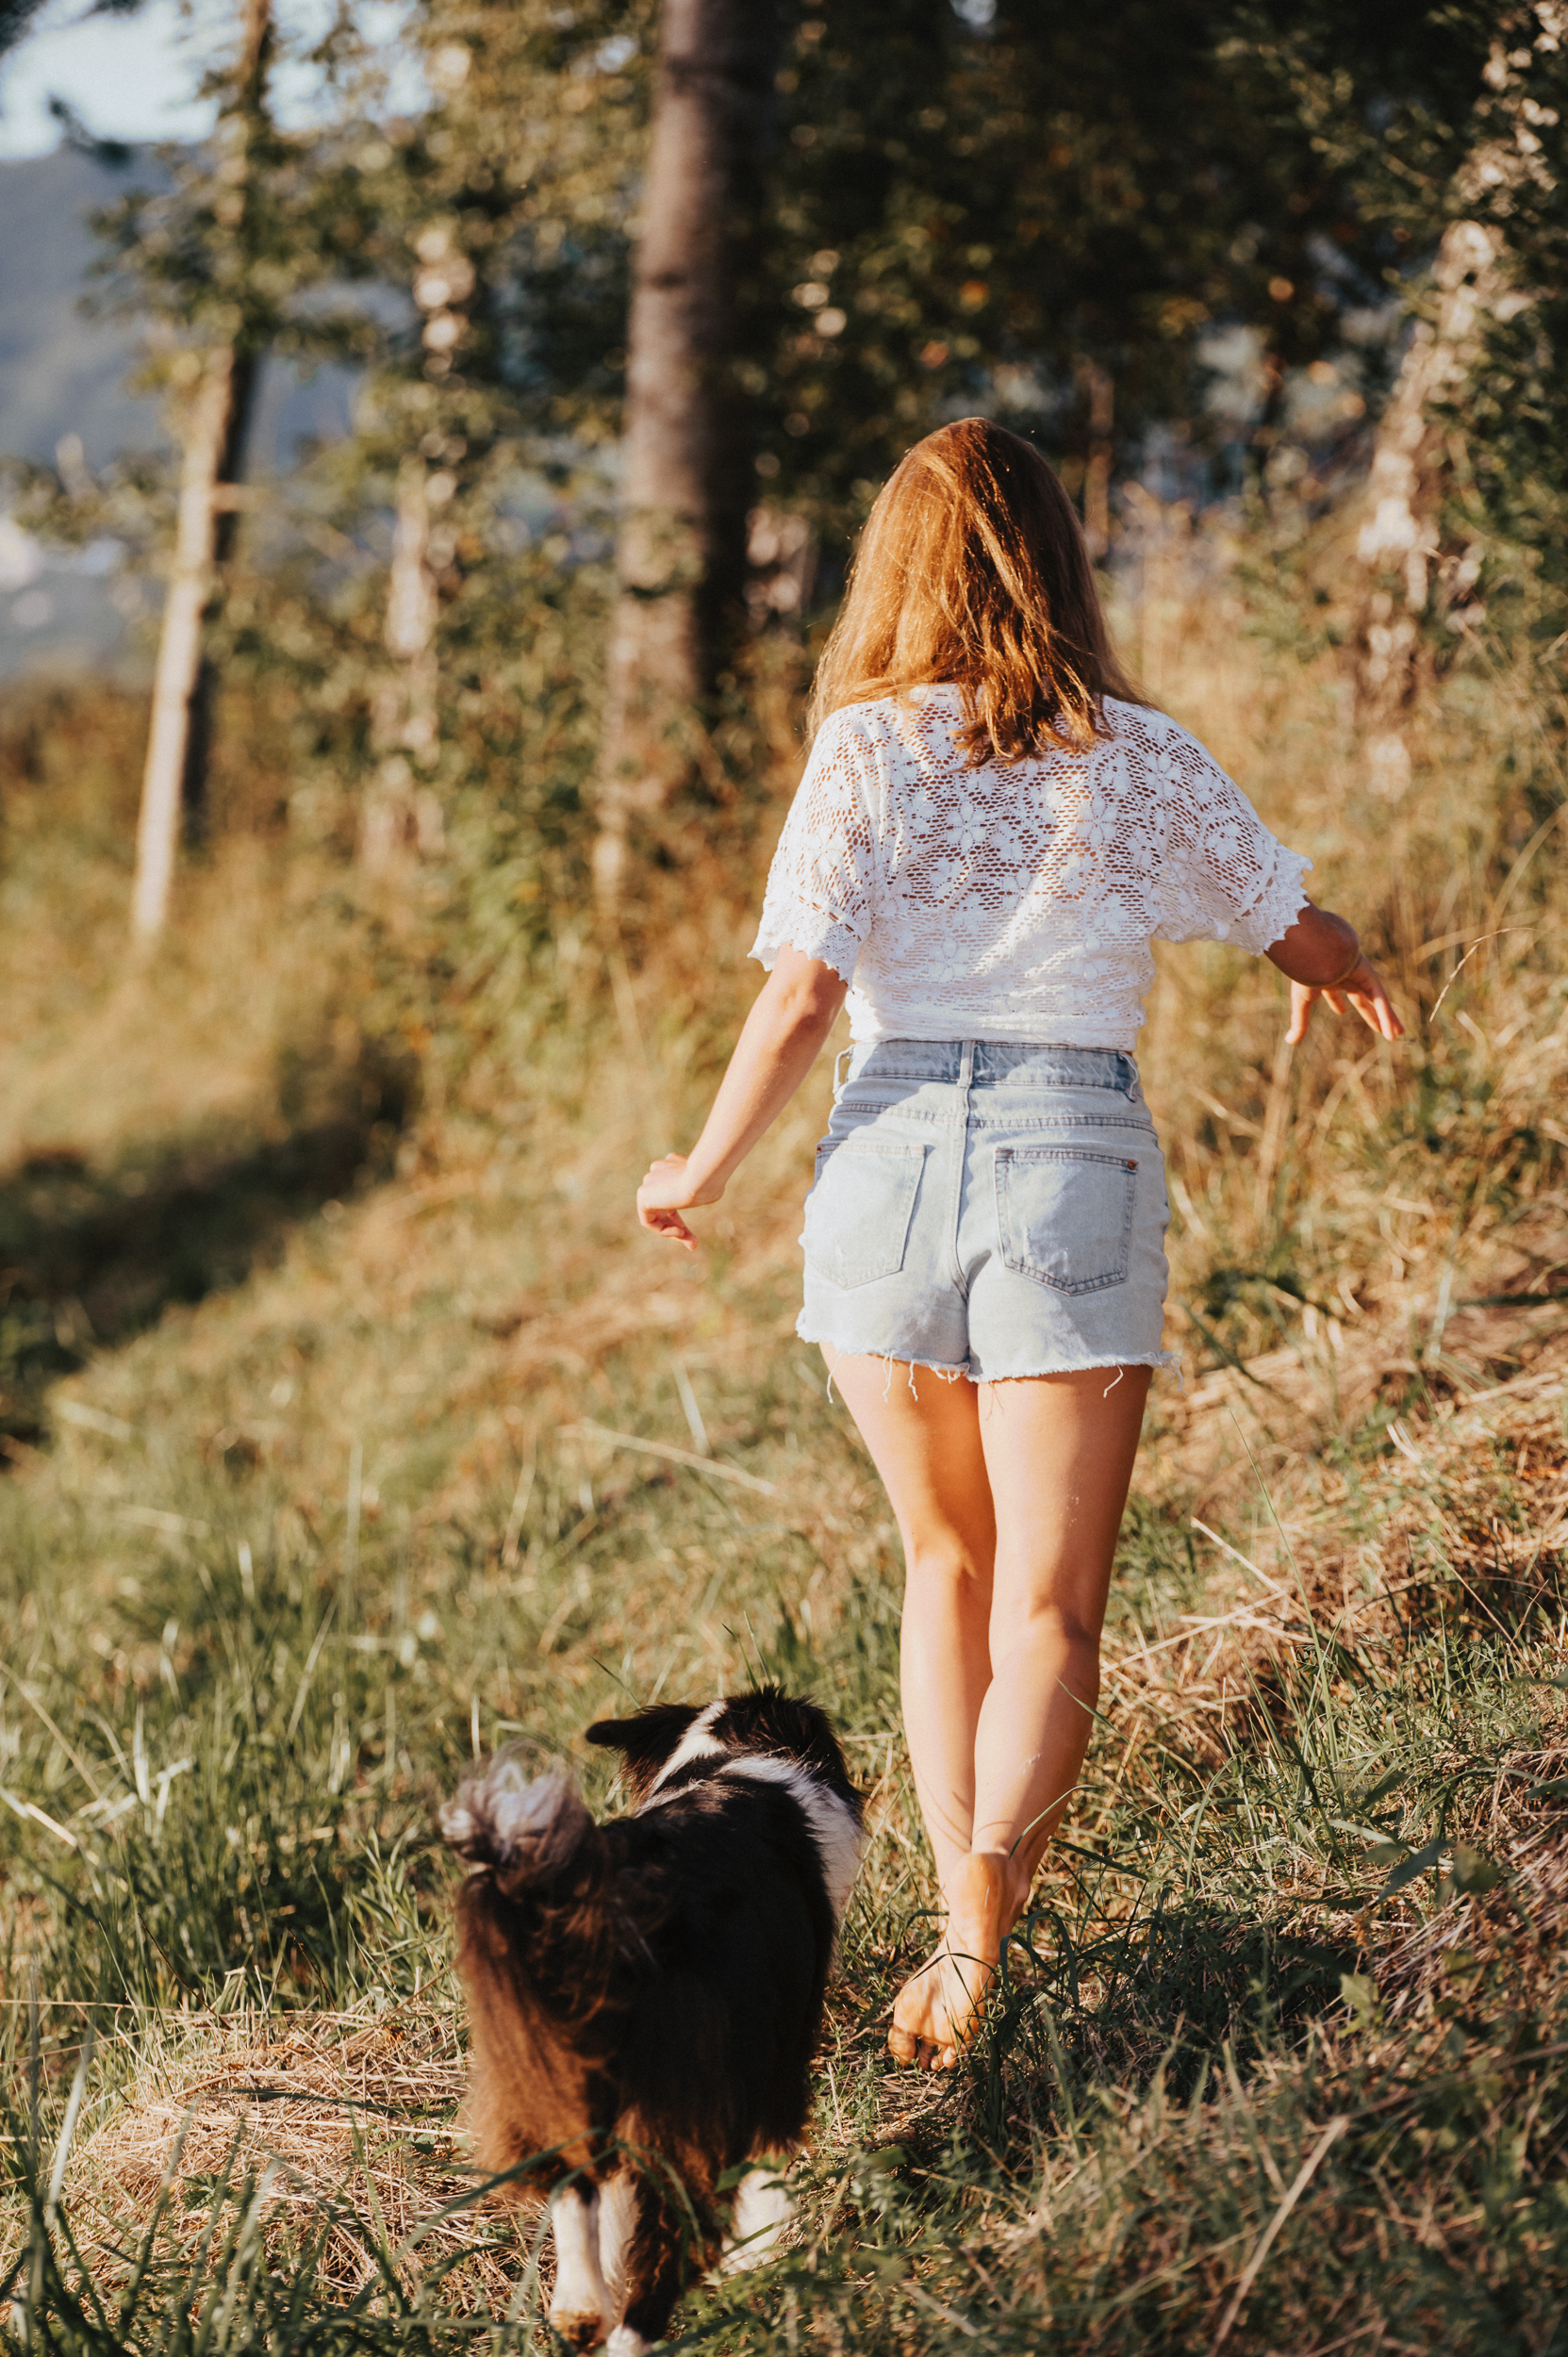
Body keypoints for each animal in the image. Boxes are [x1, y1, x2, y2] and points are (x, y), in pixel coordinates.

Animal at [434, 1688, 863, 2348]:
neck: (729, 1760)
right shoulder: (777, 2060)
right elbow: (768, 2176)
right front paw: (758, 2259)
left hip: (557, 2079)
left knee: (577, 2188)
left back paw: (581, 2308)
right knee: (661, 2266)